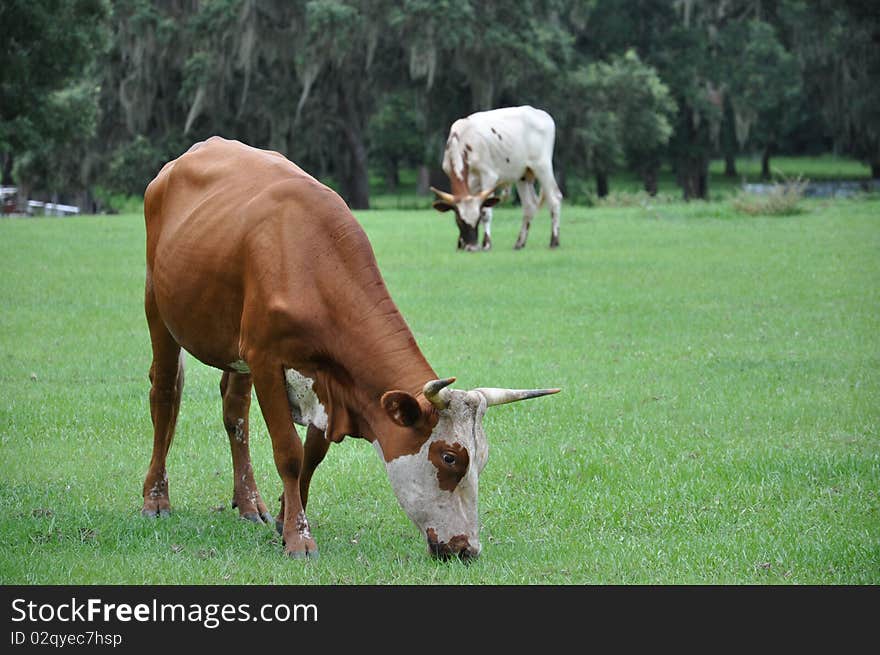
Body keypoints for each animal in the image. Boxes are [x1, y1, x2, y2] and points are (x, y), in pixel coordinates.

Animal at [142, 137, 560, 560]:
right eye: (449, 457)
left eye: (482, 459)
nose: (467, 548)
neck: (311, 259)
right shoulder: (265, 360)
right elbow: (289, 453)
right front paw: (298, 536)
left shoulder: (327, 380)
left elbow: (311, 455)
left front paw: (285, 518)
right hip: (158, 309)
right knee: (165, 396)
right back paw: (156, 498)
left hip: (235, 349)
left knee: (235, 413)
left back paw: (248, 502)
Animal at [432, 106, 564, 252]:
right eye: (459, 220)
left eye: (478, 219)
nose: (472, 247)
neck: (462, 140)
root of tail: (541, 113)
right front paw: (460, 243)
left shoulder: (488, 175)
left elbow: (486, 212)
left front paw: (486, 244)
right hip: (523, 175)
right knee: (529, 205)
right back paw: (519, 243)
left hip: (542, 166)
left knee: (554, 198)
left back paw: (554, 241)